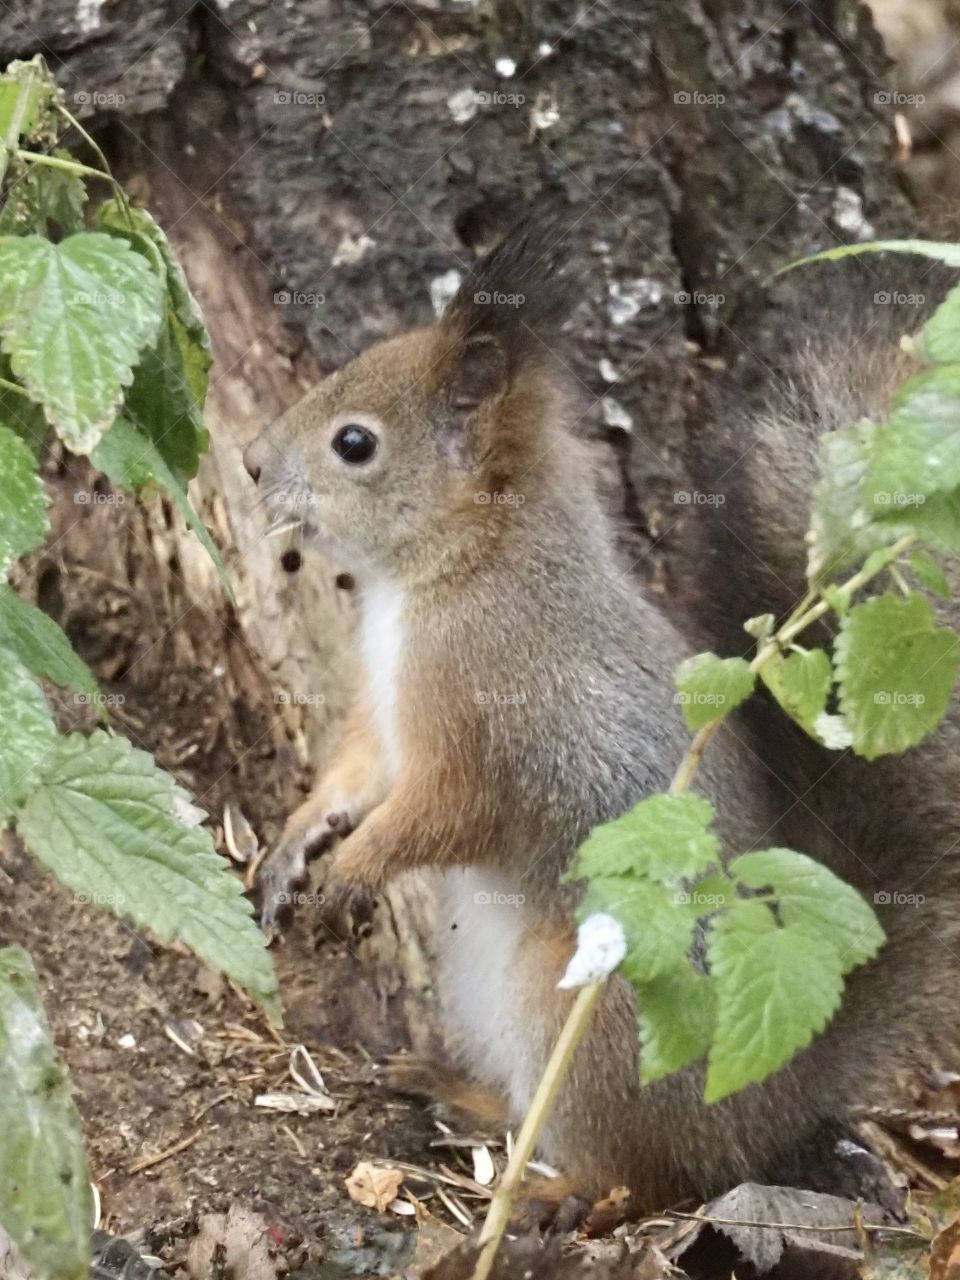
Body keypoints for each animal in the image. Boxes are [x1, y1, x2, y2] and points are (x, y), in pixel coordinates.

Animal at [243, 225, 957, 1212]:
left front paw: (357, 869)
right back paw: (454, 1093)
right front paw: (296, 842)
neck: (460, 567)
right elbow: (357, 773)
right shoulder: (384, 714)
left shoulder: (493, 719)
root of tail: (766, 1100)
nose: (249, 464)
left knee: (634, 1175)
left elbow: (445, 809)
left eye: (355, 443)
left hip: (582, 1008)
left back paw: (543, 1190)